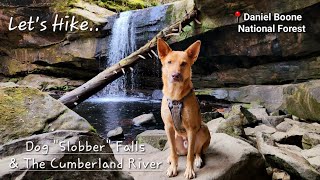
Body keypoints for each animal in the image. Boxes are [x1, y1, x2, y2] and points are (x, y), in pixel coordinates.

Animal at [157, 38, 211, 179]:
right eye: (169, 62)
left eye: (184, 63)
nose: (175, 75)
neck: (176, 96)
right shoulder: (168, 127)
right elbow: (173, 152)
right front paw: (173, 168)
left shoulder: (191, 129)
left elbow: (190, 156)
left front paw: (189, 170)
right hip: (175, 137)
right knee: (176, 151)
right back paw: (171, 158)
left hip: (203, 130)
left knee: (196, 151)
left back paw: (198, 159)